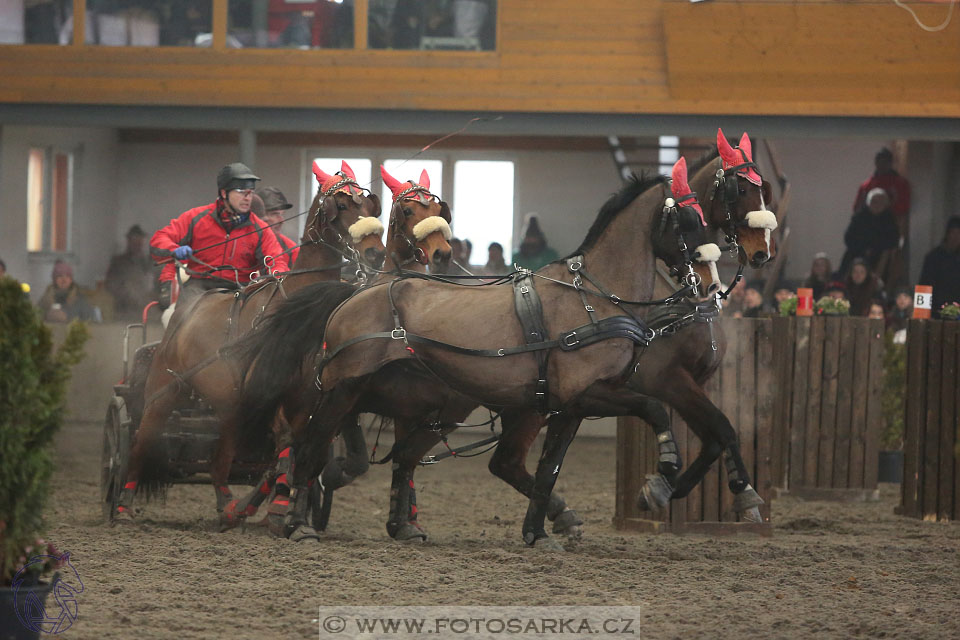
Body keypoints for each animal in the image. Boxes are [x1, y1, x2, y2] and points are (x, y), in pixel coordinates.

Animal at [109, 162, 386, 528]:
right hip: (162, 393)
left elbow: (290, 457)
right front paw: (275, 509)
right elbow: (285, 452)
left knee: (220, 461)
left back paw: (228, 505)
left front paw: (275, 507)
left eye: (369, 205)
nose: (376, 253)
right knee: (142, 443)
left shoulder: (311, 401)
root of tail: (189, 309)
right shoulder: (274, 400)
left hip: (229, 406)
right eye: (340, 205)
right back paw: (123, 504)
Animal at [234, 159, 728, 540]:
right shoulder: (590, 392)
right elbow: (655, 408)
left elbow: (547, 470)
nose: (711, 286)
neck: (592, 295)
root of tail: (353, 295)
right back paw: (297, 523)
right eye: (687, 221)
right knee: (310, 449)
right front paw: (662, 478)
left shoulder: (568, 405)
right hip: (343, 391)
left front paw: (539, 531)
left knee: (400, 457)